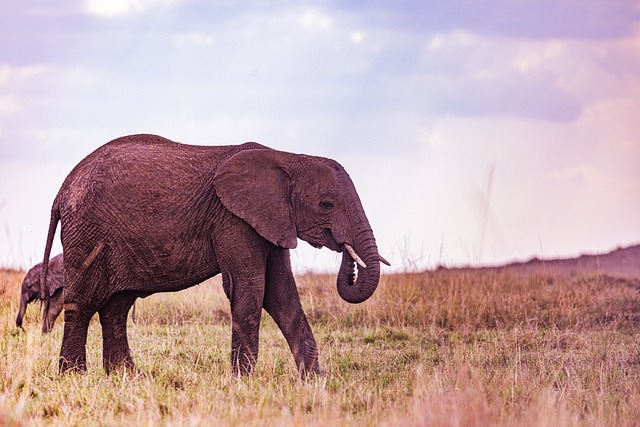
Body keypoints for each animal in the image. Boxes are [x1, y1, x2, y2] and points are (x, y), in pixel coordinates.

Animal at [42, 134, 390, 378]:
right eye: (326, 204)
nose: (346, 252)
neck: (286, 157)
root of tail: (62, 190)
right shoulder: (233, 219)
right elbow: (250, 288)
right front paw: (242, 382)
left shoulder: (271, 220)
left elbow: (282, 294)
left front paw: (316, 380)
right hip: (88, 233)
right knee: (83, 302)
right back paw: (73, 376)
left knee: (116, 307)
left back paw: (128, 376)